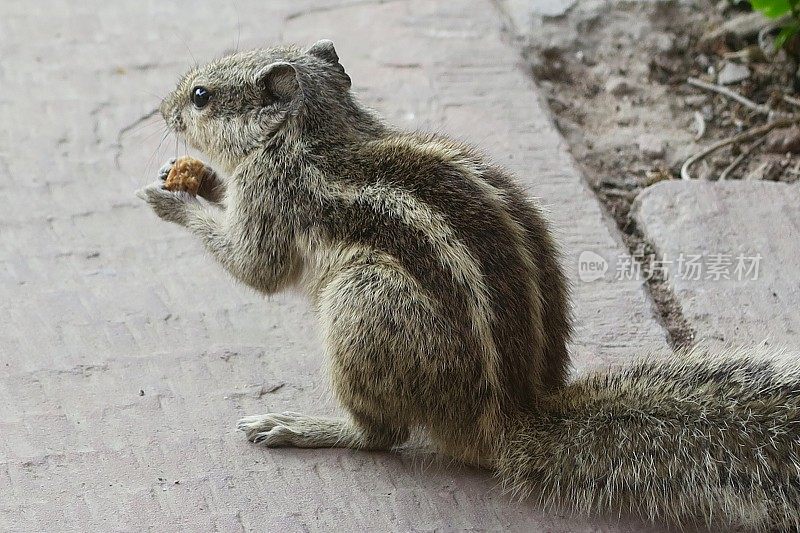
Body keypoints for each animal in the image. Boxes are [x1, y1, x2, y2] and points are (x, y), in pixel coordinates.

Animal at [138, 40, 800, 528]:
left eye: (200, 97)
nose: (160, 109)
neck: (316, 132)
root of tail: (511, 419)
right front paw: (193, 179)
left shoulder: (273, 195)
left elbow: (256, 267)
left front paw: (176, 199)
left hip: (364, 303)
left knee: (381, 436)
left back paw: (305, 426)